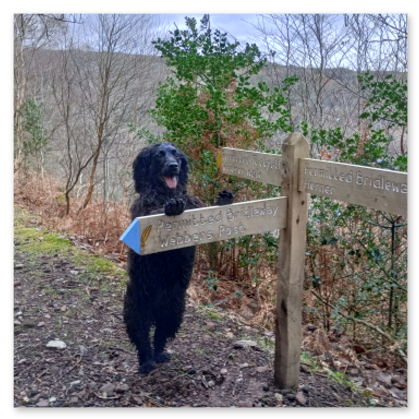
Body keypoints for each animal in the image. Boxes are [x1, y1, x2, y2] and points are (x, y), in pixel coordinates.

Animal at [123, 142, 234, 373]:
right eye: (159, 155)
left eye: (175, 154)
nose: (174, 166)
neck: (167, 193)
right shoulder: (145, 212)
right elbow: (155, 214)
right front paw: (171, 207)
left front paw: (223, 200)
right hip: (137, 306)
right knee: (142, 338)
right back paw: (146, 362)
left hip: (173, 308)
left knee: (160, 335)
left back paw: (159, 354)